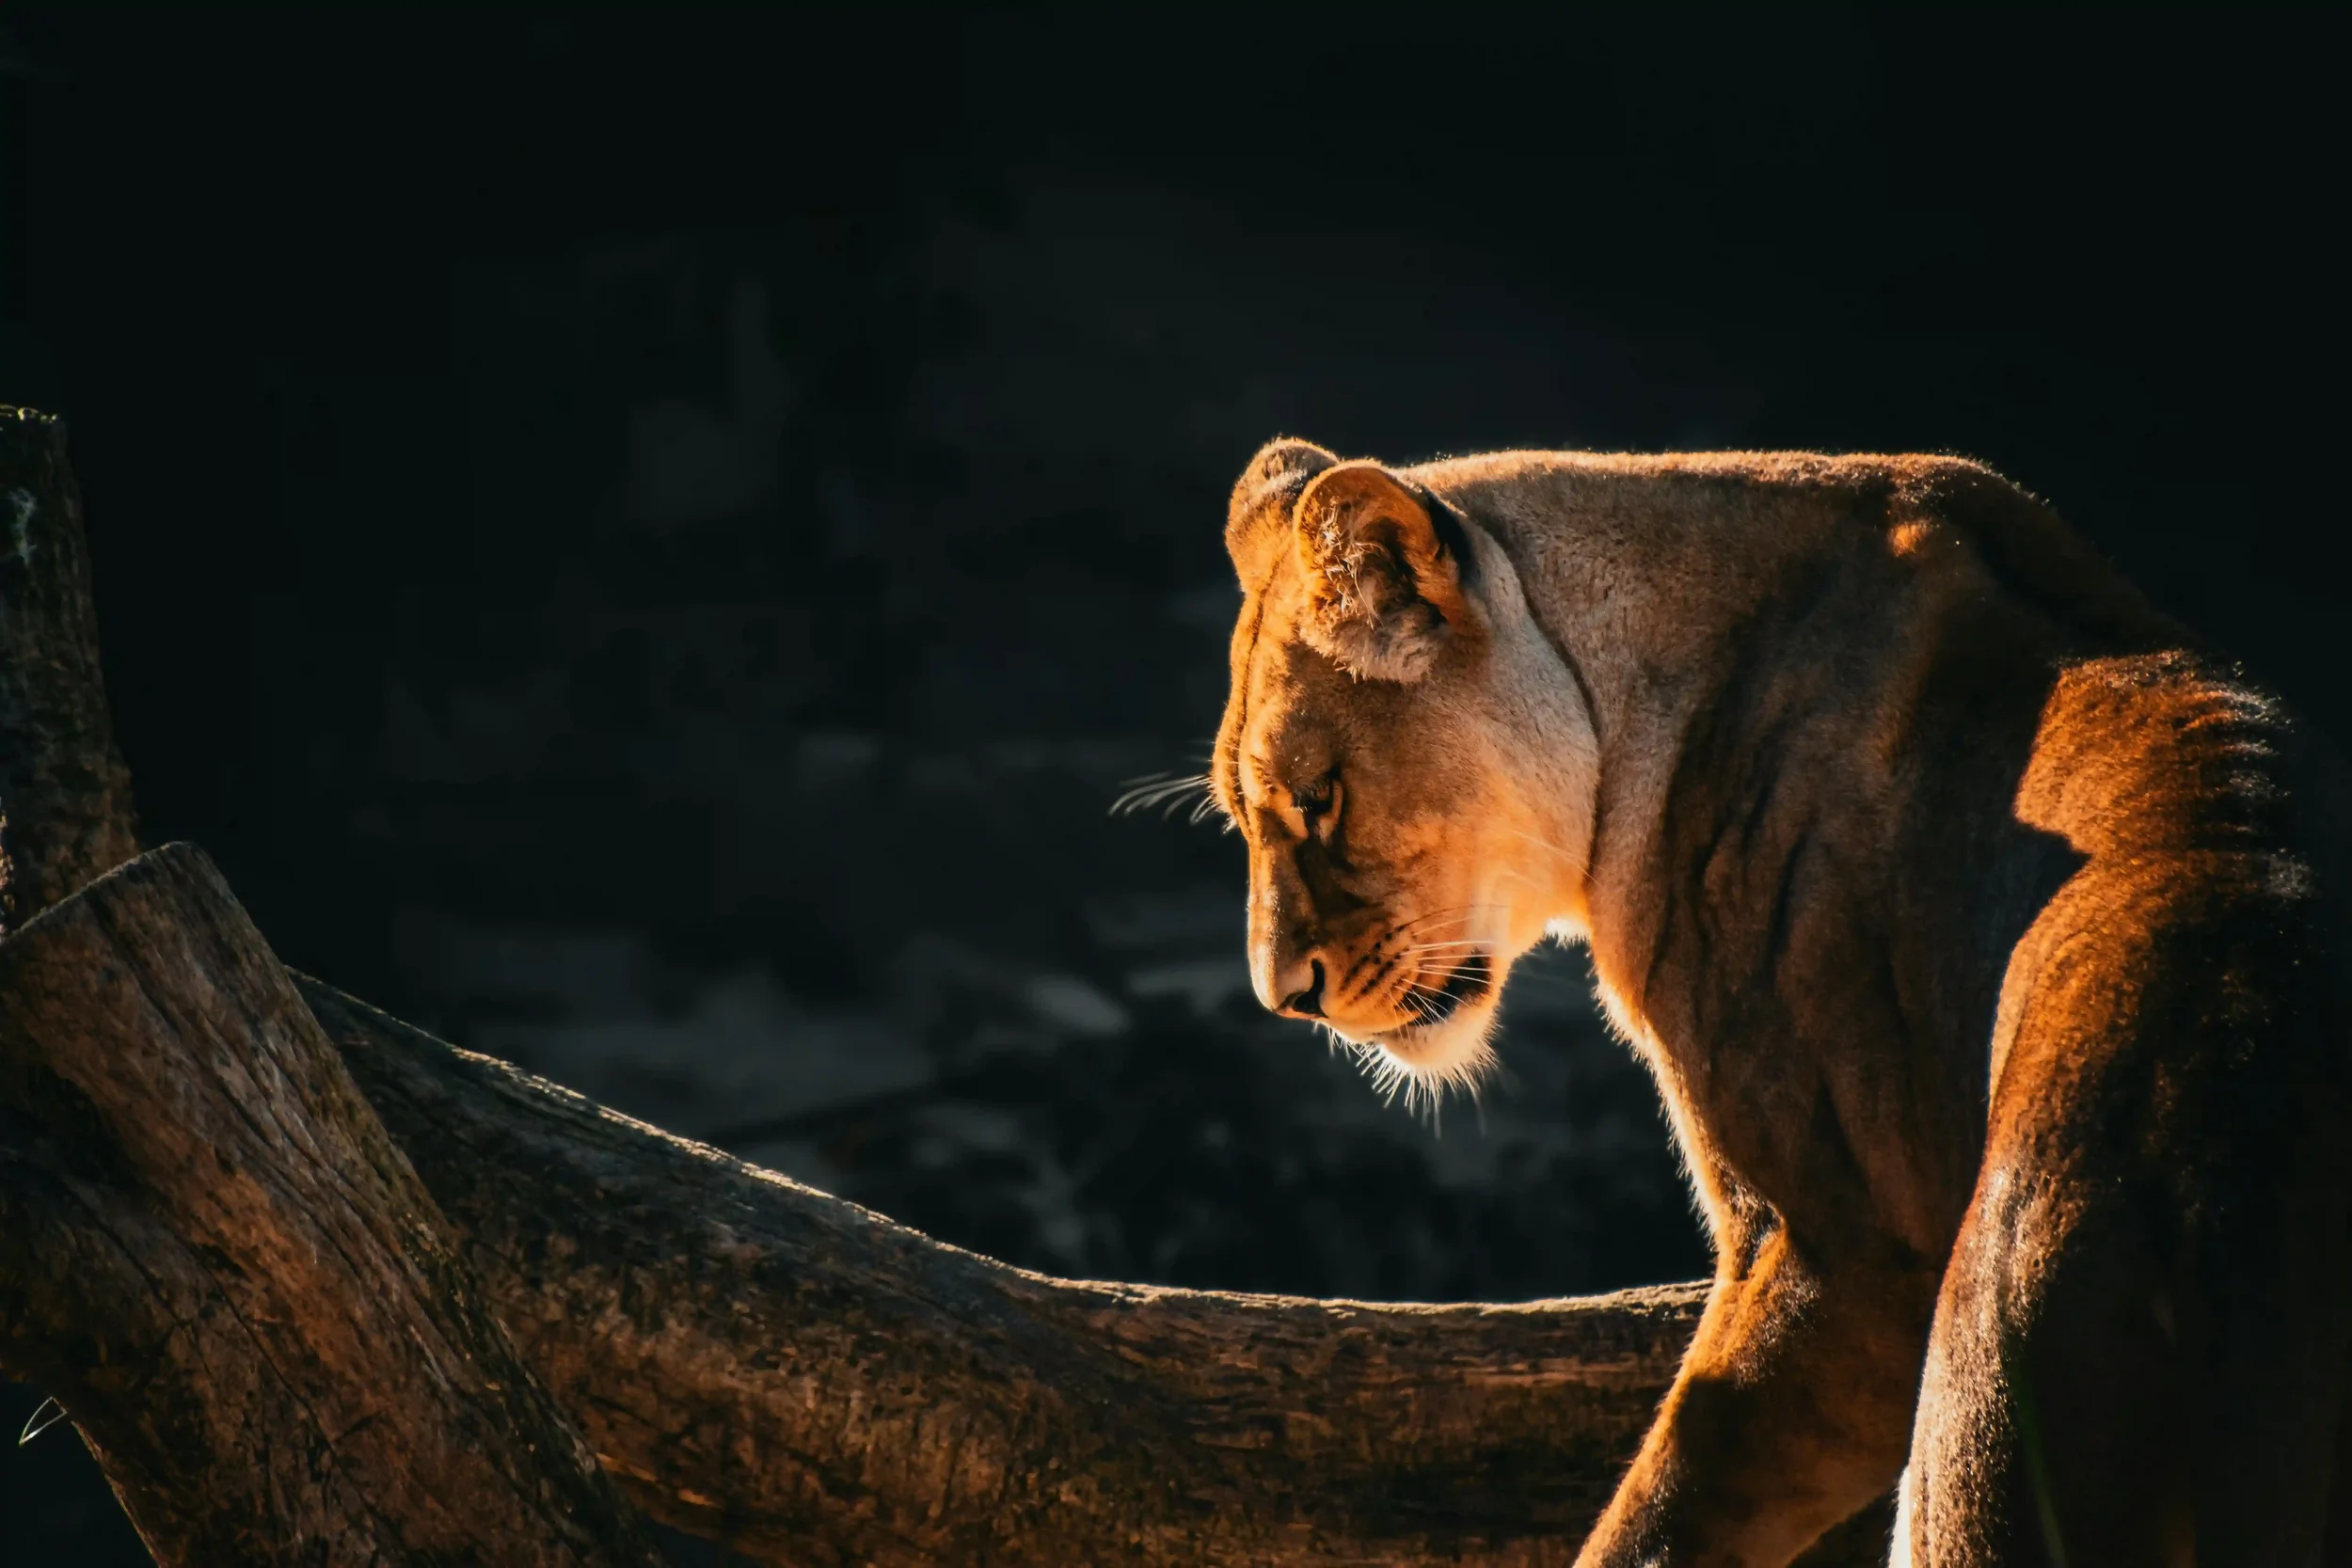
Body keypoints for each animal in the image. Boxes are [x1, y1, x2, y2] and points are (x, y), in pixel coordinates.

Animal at [1210, 438, 2352, 1565]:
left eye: (1318, 797)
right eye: (1242, 813)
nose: (1284, 995)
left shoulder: (1837, 1253)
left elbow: (1656, 1520)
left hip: (1974, 1421)